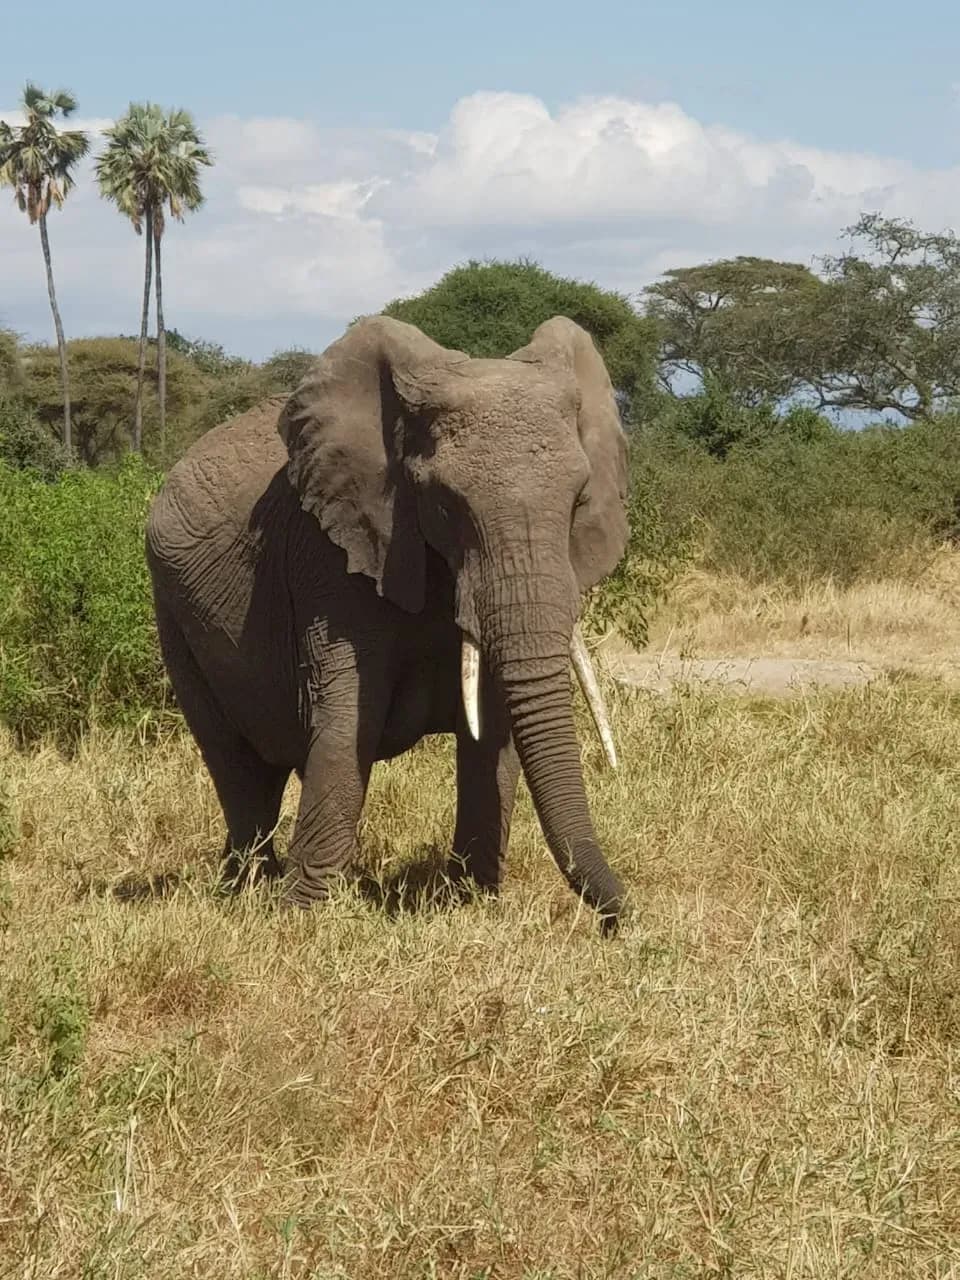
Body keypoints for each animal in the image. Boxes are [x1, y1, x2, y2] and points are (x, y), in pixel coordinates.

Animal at [145, 314, 629, 934]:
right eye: (445, 506)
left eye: (577, 502)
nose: (620, 919)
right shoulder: (330, 553)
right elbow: (348, 717)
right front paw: (301, 919)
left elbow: (492, 727)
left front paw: (468, 902)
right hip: (172, 609)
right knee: (237, 769)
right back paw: (246, 894)